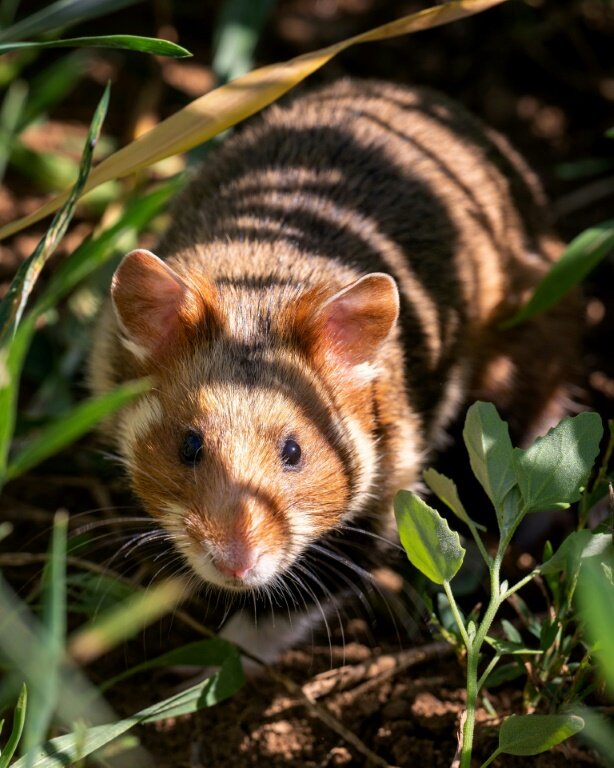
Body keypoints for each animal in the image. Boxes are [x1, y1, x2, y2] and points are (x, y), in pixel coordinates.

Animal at [89, 79, 575, 661]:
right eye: (189, 445)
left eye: (294, 452)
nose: (235, 565)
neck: (259, 284)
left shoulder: (390, 488)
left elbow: (305, 593)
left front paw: (218, 661)